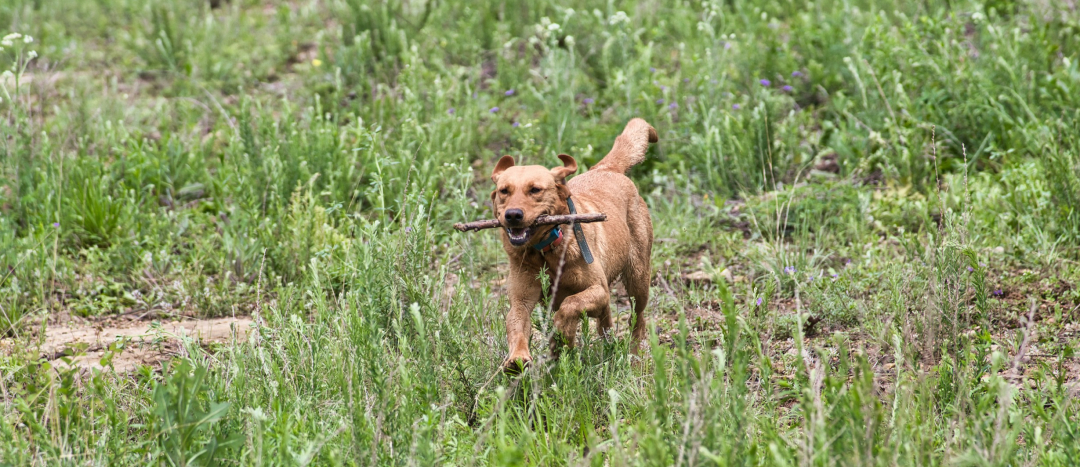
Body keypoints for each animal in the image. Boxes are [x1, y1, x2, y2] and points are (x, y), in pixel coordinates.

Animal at [492, 117, 656, 371]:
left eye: (535, 190)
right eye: (504, 191)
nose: (513, 215)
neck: (546, 251)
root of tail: (605, 169)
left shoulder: (598, 290)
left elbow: (570, 304)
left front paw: (563, 333)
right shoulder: (522, 299)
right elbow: (515, 323)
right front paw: (518, 357)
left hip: (638, 277)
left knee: (637, 318)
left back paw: (634, 355)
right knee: (605, 321)